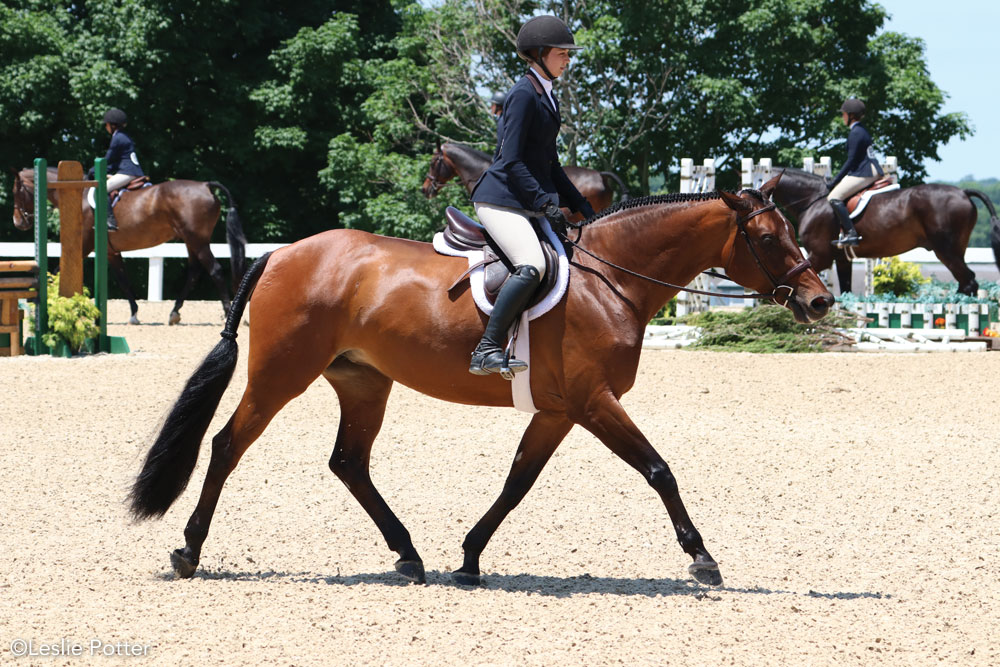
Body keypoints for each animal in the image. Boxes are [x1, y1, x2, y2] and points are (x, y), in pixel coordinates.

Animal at [12, 167, 248, 324]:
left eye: (17, 192)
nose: (18, 223)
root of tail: (205, 185)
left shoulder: (83, 246)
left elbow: (57, 272)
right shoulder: (111, 253)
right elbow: (124, 282)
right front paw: (134, 314)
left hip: (196, 240)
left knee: (215, 271)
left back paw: (226, 313)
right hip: (191, 241)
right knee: (194, 272)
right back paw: (174, 313)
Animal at [129, 175, 832, 588]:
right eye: (770, 237)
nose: (820, 302)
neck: (612, 280)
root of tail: (282, 252)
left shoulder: (560, 410)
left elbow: (518, 482)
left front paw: (469, 558)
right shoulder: (594, 401)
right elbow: (659, 469)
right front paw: (702, 557)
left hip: (363, 382)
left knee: (348, 462)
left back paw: (409, 555)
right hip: (281, 375)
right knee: (226, 447)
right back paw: (189, 553)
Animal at [772, 167, 1000, 294]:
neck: (811, 200)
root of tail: (963, 192)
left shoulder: (820, 256)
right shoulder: (842, 259)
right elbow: (845, 291)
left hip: (946, 250)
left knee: (968, 282)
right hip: (955, 250)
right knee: (965, 282)